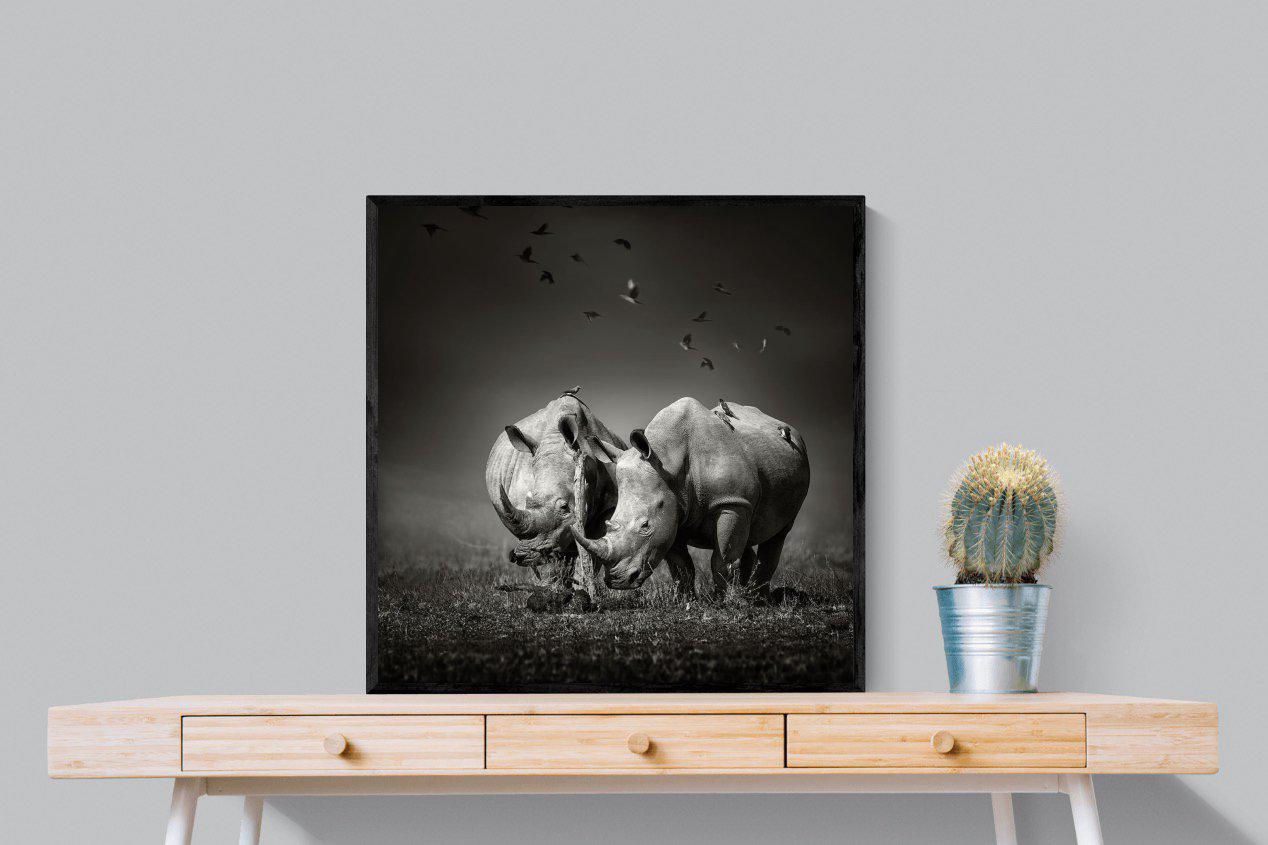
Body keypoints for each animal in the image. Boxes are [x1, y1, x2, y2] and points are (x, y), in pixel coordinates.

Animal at [485, 393, 626, 598]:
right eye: (528, 502)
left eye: (565, 507)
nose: (521, 555)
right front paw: (550, 591)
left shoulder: (608, 505)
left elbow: (592, 545)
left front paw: (583, 590)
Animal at [573, 397, 809, 598]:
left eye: (645, 526)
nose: (617, 581)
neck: (667, 459)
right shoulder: (672, 509)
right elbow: (681, 565)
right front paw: (685, 600)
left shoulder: (731, 502)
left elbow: (723, 560)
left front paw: (727, 602)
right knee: (748, 534)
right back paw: (749, 593)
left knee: (779, 534)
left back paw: (758, 598)